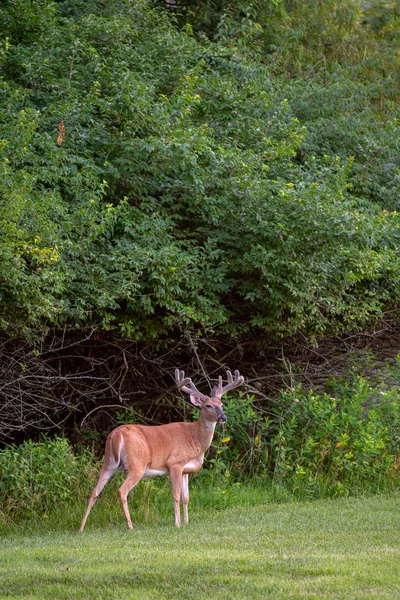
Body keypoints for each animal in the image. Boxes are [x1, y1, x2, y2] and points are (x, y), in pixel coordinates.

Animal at [79, 366, 244, 528]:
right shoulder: (175, 463)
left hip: (108, 462)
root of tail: (116, 434)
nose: (223, 417)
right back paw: (130, 526)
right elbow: (176, 495)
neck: (194, 438)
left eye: (221, 404)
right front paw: (177, 524)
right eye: (208, 405)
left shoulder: (186, 470)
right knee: (122, 490)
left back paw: (81, 528)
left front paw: (186, 522)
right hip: (136, 464)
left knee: (94, 492)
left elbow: (186, 497)